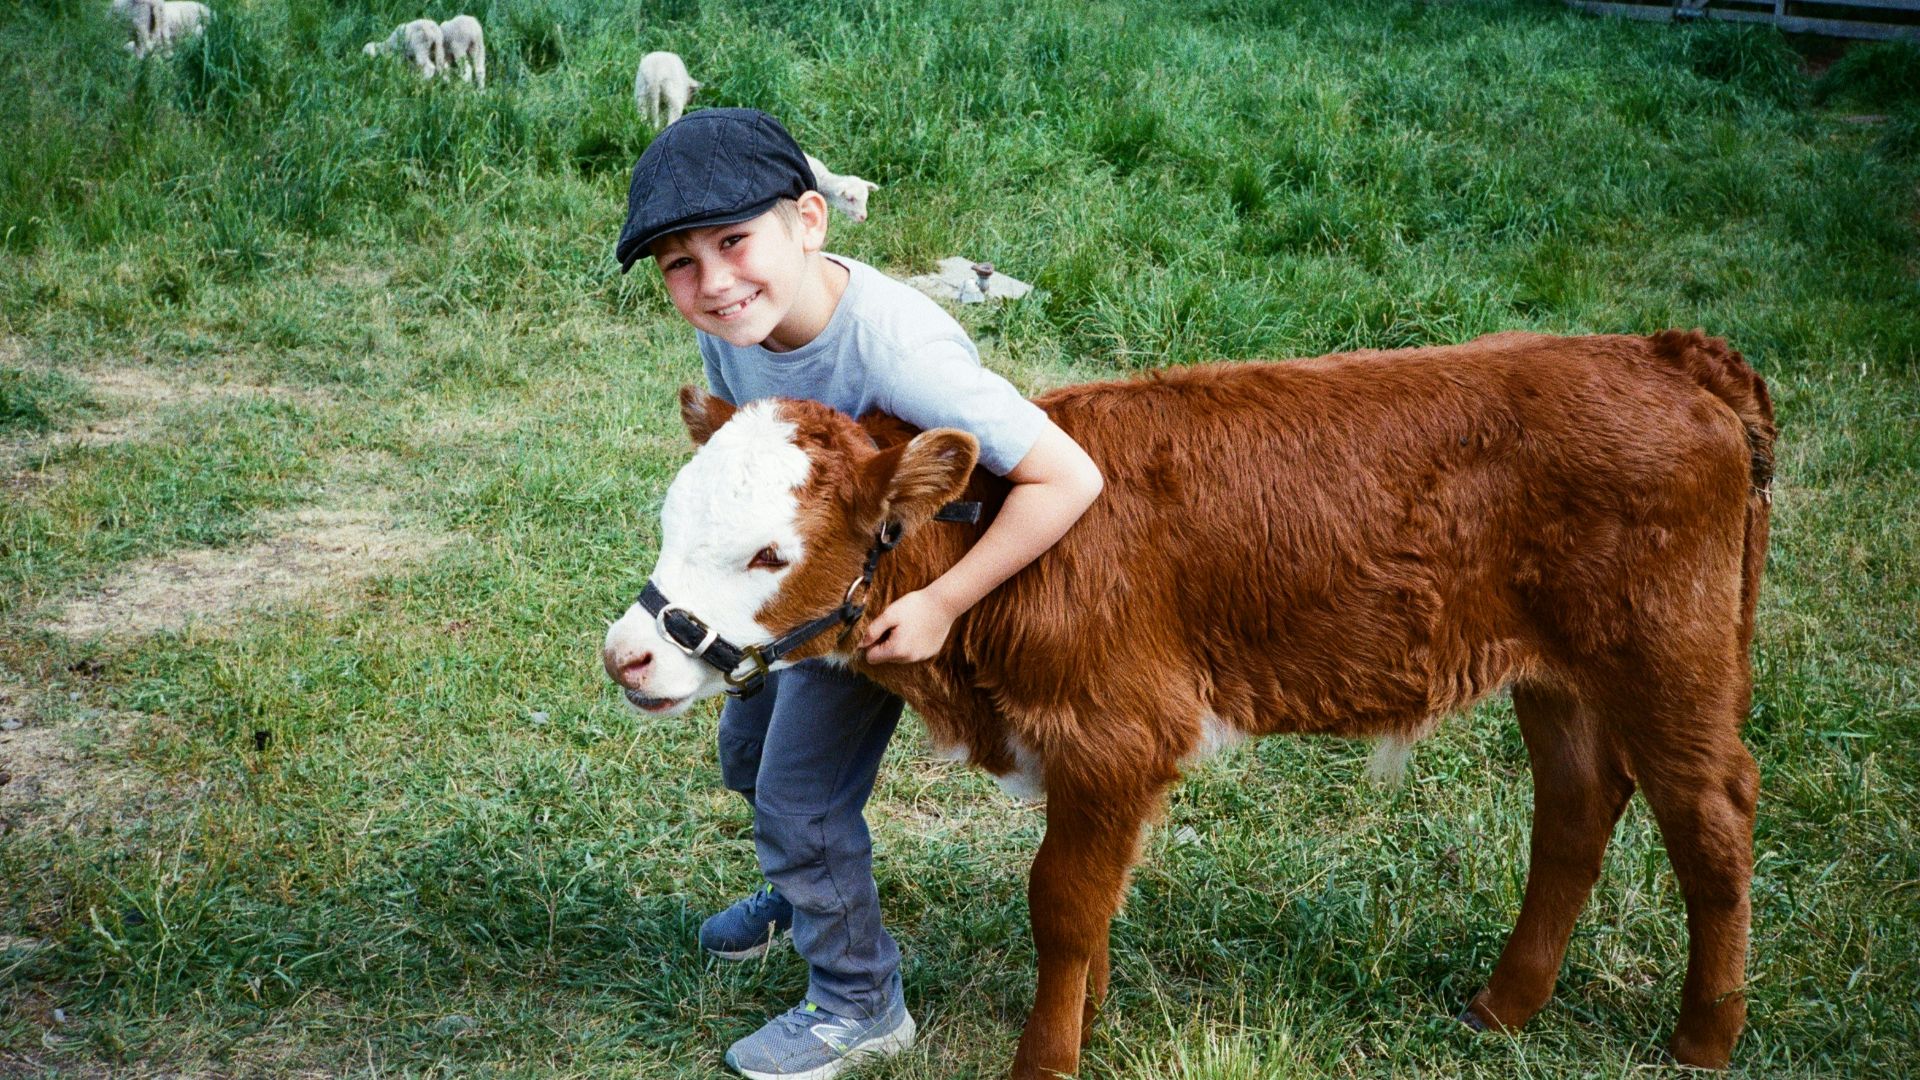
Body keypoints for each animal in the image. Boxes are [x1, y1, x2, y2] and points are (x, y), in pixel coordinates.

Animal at [601, 329, 1775, 1076]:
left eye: (770, 553)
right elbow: (1092, 896)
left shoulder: (1118, 731)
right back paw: (1503, 1006)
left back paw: (1703, 1040)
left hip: (1669, 654)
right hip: (1559, 673)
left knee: (1711, 816)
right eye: (669, 517)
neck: (998, 553)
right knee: (1577, 810)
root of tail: (1662, 353)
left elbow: (1062, 899)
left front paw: (1046, 1059)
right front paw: (1091, 1012)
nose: (626, 655)